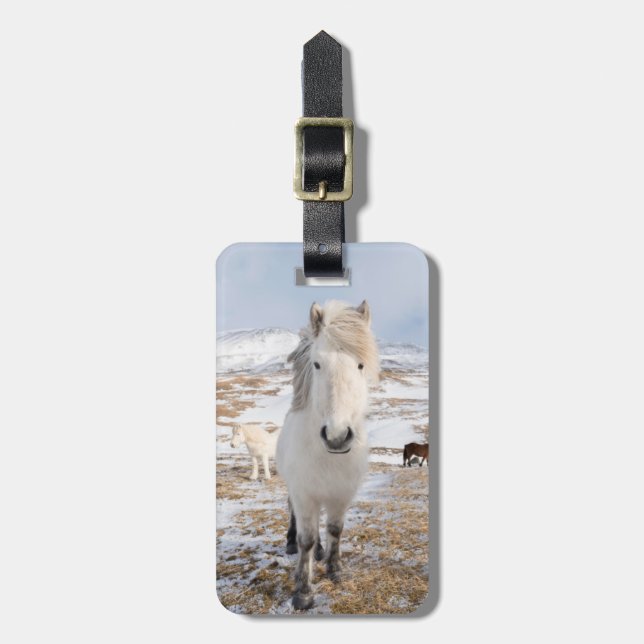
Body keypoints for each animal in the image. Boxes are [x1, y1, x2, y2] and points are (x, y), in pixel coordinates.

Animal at [276, 300, 379, 610]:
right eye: (317, 363)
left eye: (360, 364)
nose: (337, 436)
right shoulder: (304, 494)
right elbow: (307, 539)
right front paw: (303, 591)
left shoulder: (341, 495)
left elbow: (335, 530)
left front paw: (336, 570)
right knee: (294, 517)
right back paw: (291, 543)